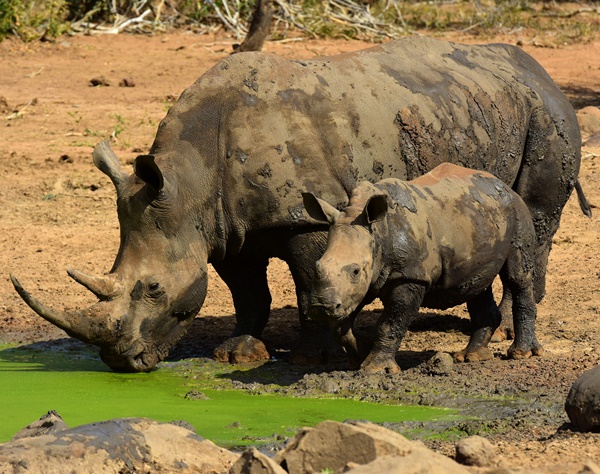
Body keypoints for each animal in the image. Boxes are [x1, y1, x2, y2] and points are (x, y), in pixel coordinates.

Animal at [304, 163, 544, 374]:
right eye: (317, 266)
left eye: (355, 271)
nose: (320, 306)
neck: (379, 231)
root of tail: (504, 186)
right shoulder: (357, 287)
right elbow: (340, 326)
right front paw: (360, 357)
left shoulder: (412, 276)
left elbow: (390, 322)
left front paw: (375, 369)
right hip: (479, 219)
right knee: (476, 285)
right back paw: (471, 357)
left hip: (517, 213)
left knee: (517, 278)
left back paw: (521, 354)